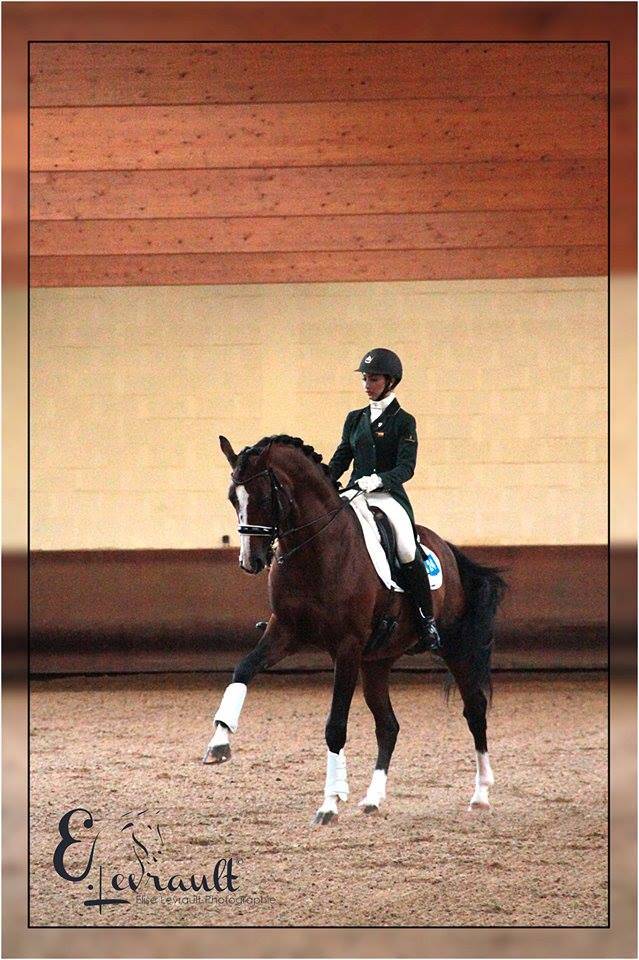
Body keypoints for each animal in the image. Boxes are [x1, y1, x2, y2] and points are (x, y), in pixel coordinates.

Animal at [203, 434, 506, 825]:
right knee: (388, 725)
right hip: (376, 661)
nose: (250, 562)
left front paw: (330, 802)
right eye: (232, 497)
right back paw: (373, 798)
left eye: (265, 498)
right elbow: (243, 669)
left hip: (453, 647)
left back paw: (481, 793)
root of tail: (448, 550)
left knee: (475, 710)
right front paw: (219, 743)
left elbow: (335, 726)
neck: (316, 549)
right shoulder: (284, 631)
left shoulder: (346, 647)